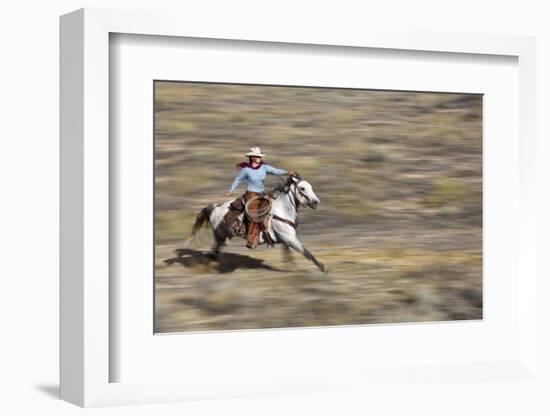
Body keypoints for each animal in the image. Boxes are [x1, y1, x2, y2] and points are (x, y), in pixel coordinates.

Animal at [188, 175, 330, 274]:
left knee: (215, 252)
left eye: (310, 187)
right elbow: (307, 253)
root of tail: (214, 207)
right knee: (215, 252)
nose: (316, 202)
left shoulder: (286, 240)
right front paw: (323, 269)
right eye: (302, 188)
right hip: (221, 236)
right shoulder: (290, 239)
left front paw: (292, 268)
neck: (282, 211)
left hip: (224, 237)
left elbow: (288, 255)